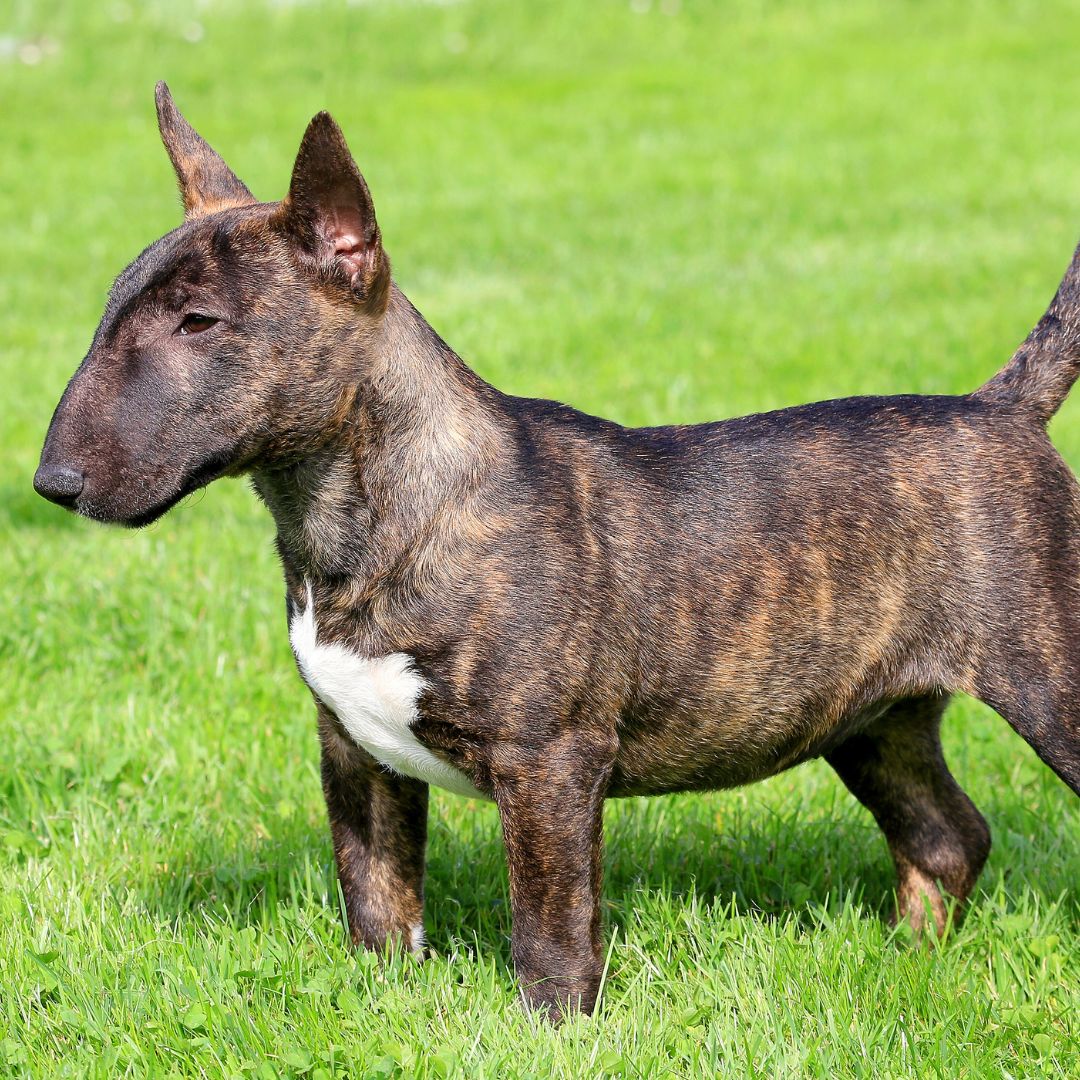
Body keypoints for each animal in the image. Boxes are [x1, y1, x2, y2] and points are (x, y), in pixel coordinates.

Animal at [33, 84, 1080, 1019]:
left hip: (1045, 679)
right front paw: (382, 1005)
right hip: (871, 717)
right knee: (947, 834)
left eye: (199, 321)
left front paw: (553, 1028)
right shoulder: (353, 753)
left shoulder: (550, 764)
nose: (53, 483)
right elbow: (377, 901)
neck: (372, 512)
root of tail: (1000, 411)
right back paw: (905, 960)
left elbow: (549, 924)